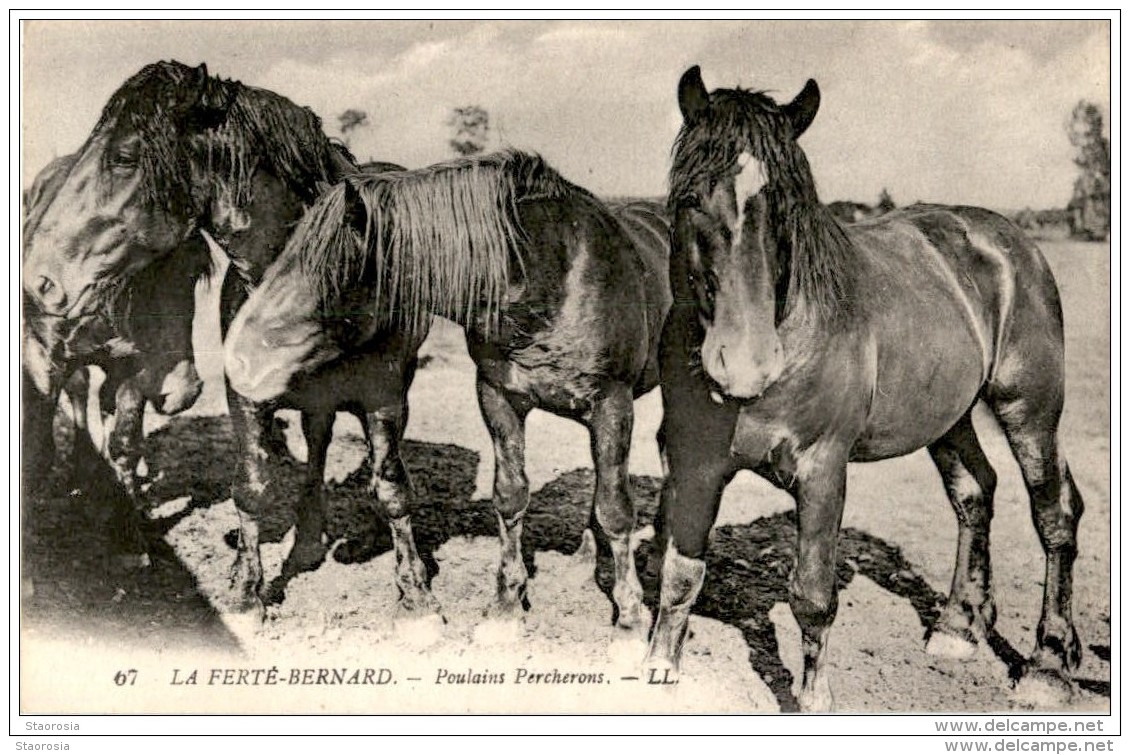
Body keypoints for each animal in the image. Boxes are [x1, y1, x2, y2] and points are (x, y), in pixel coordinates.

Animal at [21, 151, 207, 565]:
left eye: (194, 272)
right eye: (141, 271)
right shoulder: (41, 358)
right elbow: (36, 443)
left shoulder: (131, 369)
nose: (184, 390)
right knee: (78, 391)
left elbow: (124, 444)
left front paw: (131, 535)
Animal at [220, 149, 668, 632]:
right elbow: (511, 495)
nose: (238, 359)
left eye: (329, 274)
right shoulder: (499, 397)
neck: (554, 278)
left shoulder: (612, 405)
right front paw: (506, 607)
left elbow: (616, 510)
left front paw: (630, 619)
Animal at [650, 67, 1089, 709]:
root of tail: (1012, 242)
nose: (744, 365)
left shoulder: (822, 471)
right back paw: (958, 627)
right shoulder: (694, 462)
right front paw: (657, 669)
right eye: (689, 200)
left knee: (1054, 512)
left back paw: (1048, 666)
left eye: (788, 209)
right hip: (949, 417)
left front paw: (814, 701)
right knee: (974, 493)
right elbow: (680, 574)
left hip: (1029, 408)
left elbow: (812, 596)